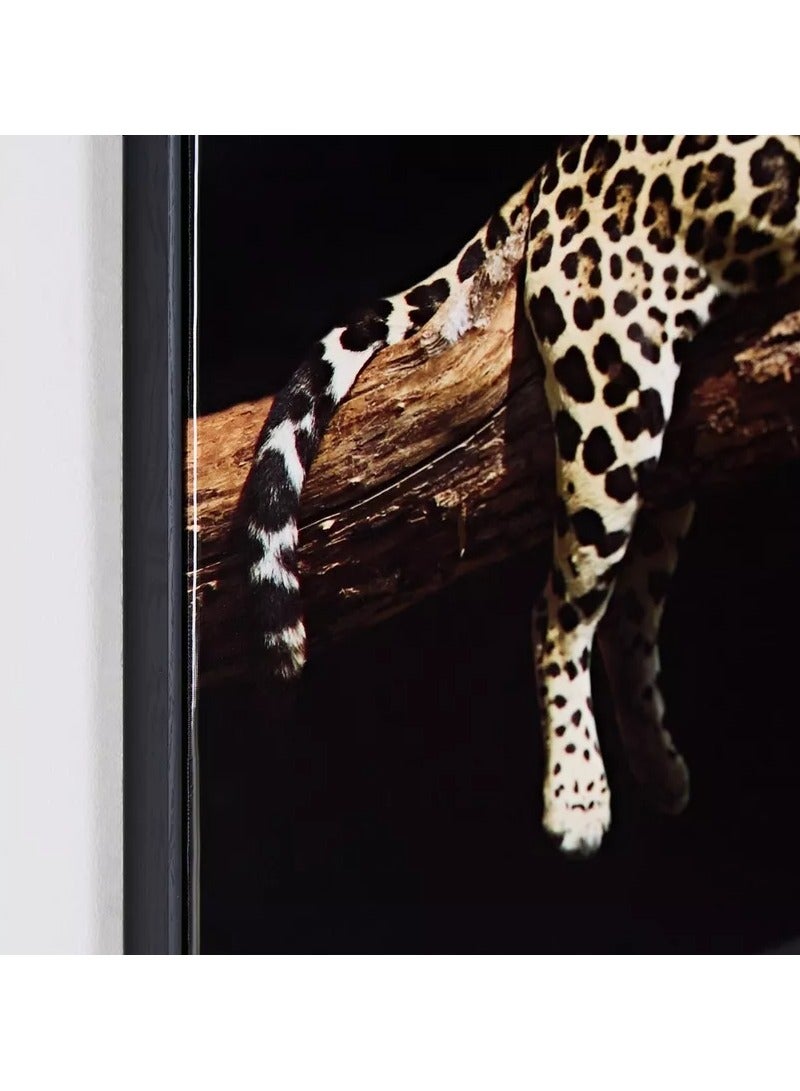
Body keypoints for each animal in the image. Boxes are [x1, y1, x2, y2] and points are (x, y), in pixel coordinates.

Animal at [243, 136, 800, 856]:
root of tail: (557, 160)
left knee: (627, 612)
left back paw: (660, 770)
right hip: (614, 393)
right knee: (558, 615)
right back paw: (578, 797)